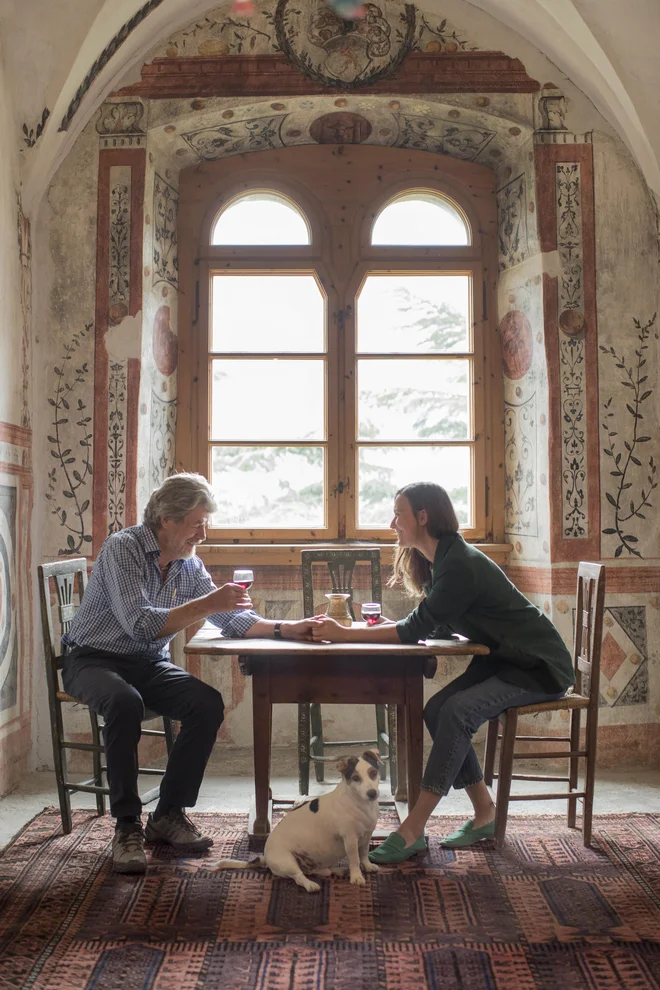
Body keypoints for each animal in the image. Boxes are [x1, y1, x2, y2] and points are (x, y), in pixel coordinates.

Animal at [217, 756, 382, 896]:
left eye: (373, 773)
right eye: (356, 778)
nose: (372, 793)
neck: (360, 803)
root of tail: (266, 858)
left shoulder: (366, 836)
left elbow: (364, 854)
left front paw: (368, 867)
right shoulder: (350, 839)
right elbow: (354, 859)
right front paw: (357, 877)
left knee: (322, 871)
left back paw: (339, 870)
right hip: (288, 862)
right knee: (299, 877)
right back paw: (311, 885)